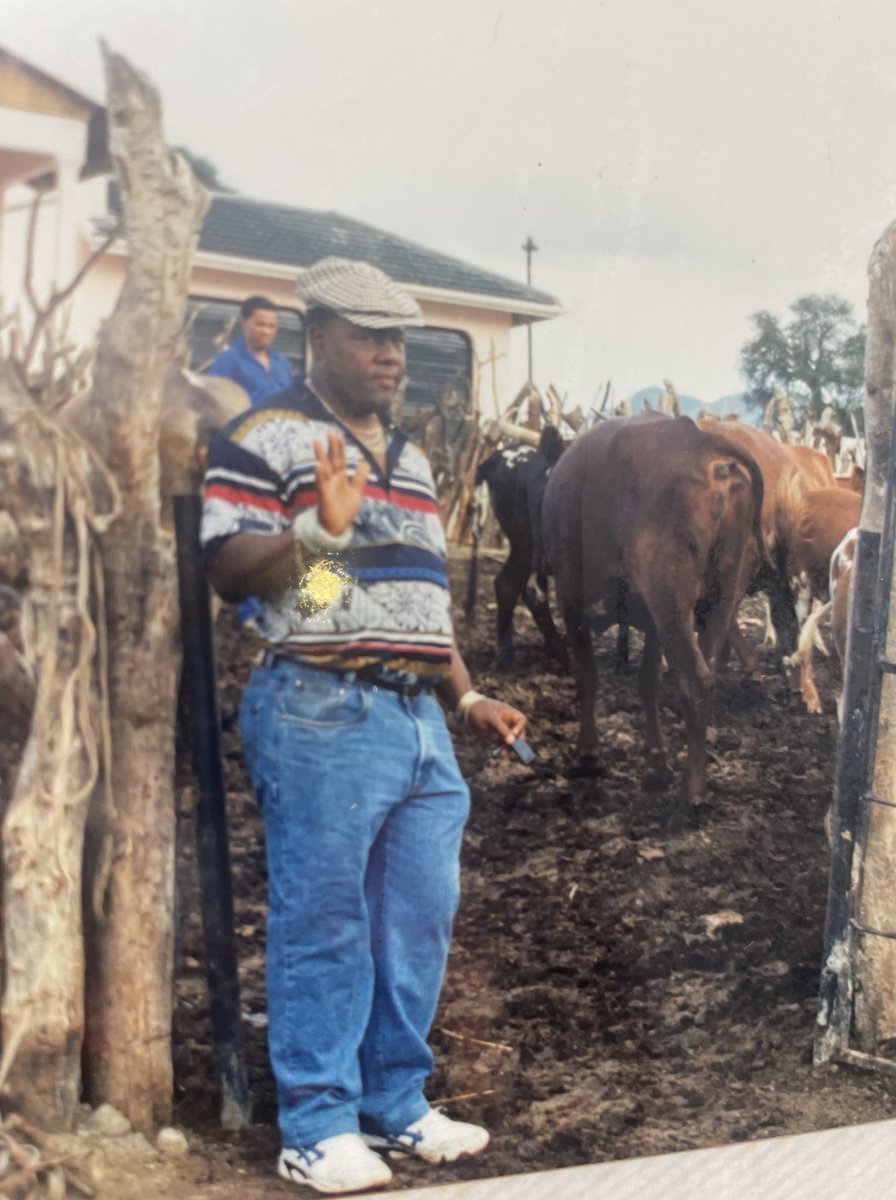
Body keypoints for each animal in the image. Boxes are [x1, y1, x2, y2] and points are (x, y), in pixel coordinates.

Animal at [539, 412, 762, 825]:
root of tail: (700, 441)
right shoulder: (653, 624)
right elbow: (648, 683)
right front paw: (657, 764)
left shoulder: (571, 602)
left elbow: (587, 675)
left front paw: (587, 755)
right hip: (715, 602)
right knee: (708, 675)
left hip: (671, 602)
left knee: (696, 681)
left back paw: (693, 795)